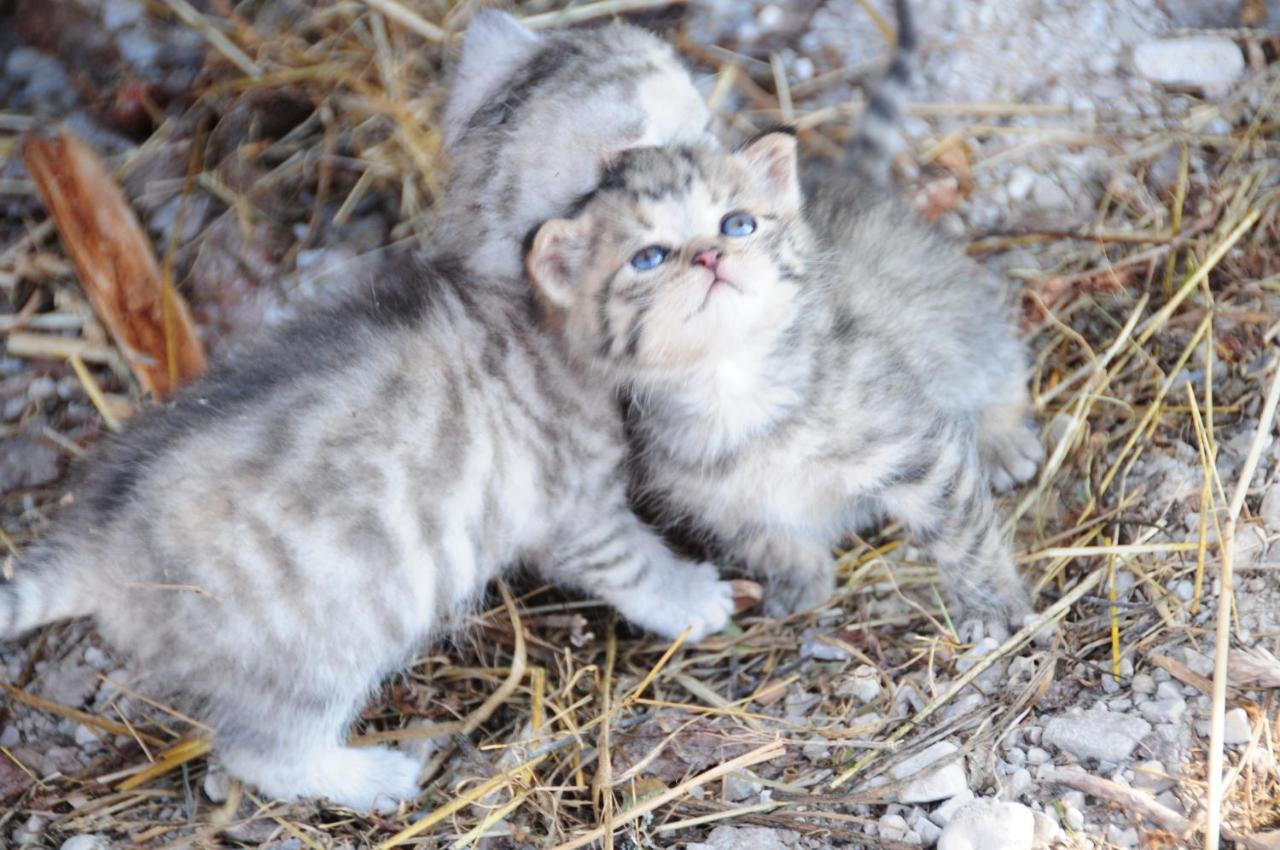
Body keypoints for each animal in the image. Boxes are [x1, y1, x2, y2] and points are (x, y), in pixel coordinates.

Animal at [0, 253, 737, 809]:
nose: (719, 263)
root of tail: (101, 542)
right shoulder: (576, 510)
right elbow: (635, 564)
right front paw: (692, 598)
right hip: (321, 647)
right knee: (262, 754)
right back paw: (374, 777)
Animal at [524, 131, 1044, 629]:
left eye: (736, 224)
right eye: (648, 257)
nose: (709, 256)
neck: (734, 386)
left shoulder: (913, 442)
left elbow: (960, 532)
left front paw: (992, 606)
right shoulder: (718, 506)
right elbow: (771, 542)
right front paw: (801, 581)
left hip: (953, 307)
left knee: (997, 358)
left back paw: (1003, 438)